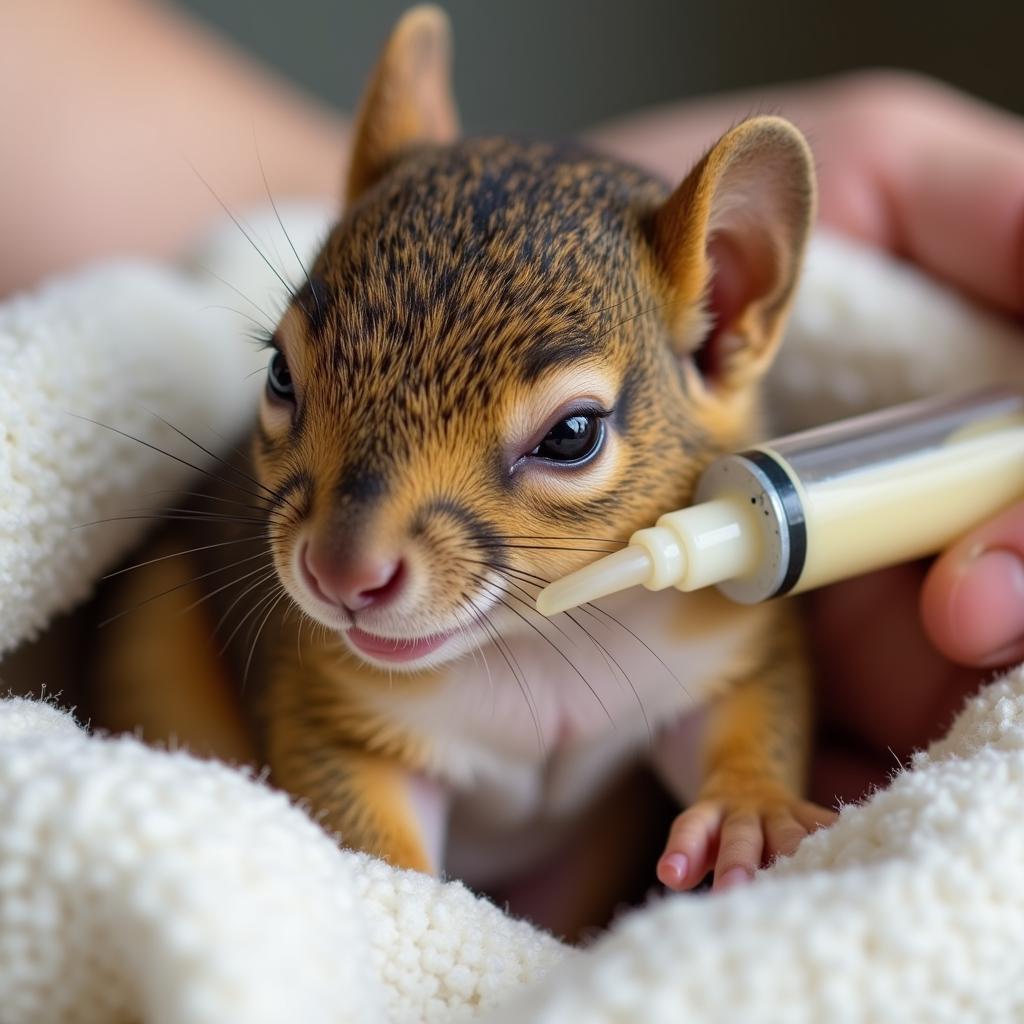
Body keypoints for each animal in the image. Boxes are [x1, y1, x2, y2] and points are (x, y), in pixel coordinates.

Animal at [92, 6, 835, 921]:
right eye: (279, 374)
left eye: (573, 434)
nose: (341, 574)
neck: (542, 647)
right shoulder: (340, 709)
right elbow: (369, 824)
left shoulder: (721, 641)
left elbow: (748, 711)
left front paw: (750, 813)